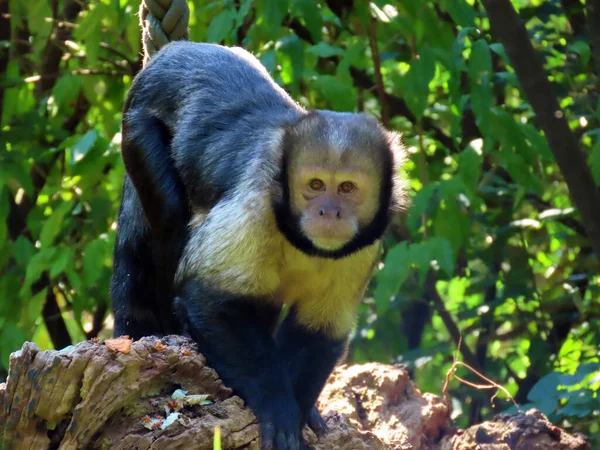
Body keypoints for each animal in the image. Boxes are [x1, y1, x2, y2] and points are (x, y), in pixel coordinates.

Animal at [110, 41, 406, 450]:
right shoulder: (256, 202)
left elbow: (320, 329)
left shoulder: (362, 247)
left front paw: (301, 413)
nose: (329, 212)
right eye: (315, 185)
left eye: (347, 188)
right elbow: (209, 299)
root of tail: (174, 51)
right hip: (137, 122)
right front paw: (277, 407)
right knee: (167, 222)